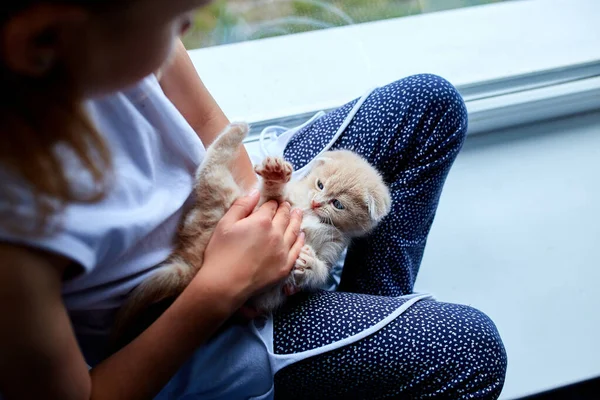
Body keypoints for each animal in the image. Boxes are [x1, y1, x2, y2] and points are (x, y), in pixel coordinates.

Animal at [112, 122, 392, 338]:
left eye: (338, 204)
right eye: (320, 185)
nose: (316, 202)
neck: (312, 215)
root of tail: (192, 261)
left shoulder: (333, 247)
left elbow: (320, 272)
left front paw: (309, 265)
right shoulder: (272, 203)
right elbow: (273, 194)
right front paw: (275, 175)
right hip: (224, 195)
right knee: (208, 168)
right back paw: (238, 129)